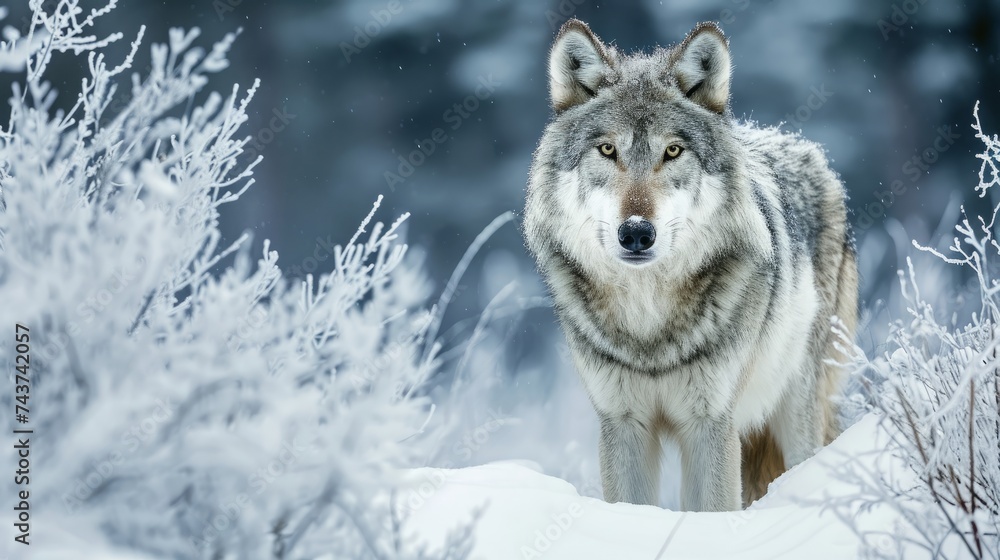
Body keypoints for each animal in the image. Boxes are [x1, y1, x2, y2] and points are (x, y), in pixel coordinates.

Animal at [524, 18, 860, 512]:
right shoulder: (622, 422)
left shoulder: (710, 423)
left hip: (796, 411)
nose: (636, 232)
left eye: (672, 152)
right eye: (607, 150)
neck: (649, 325)